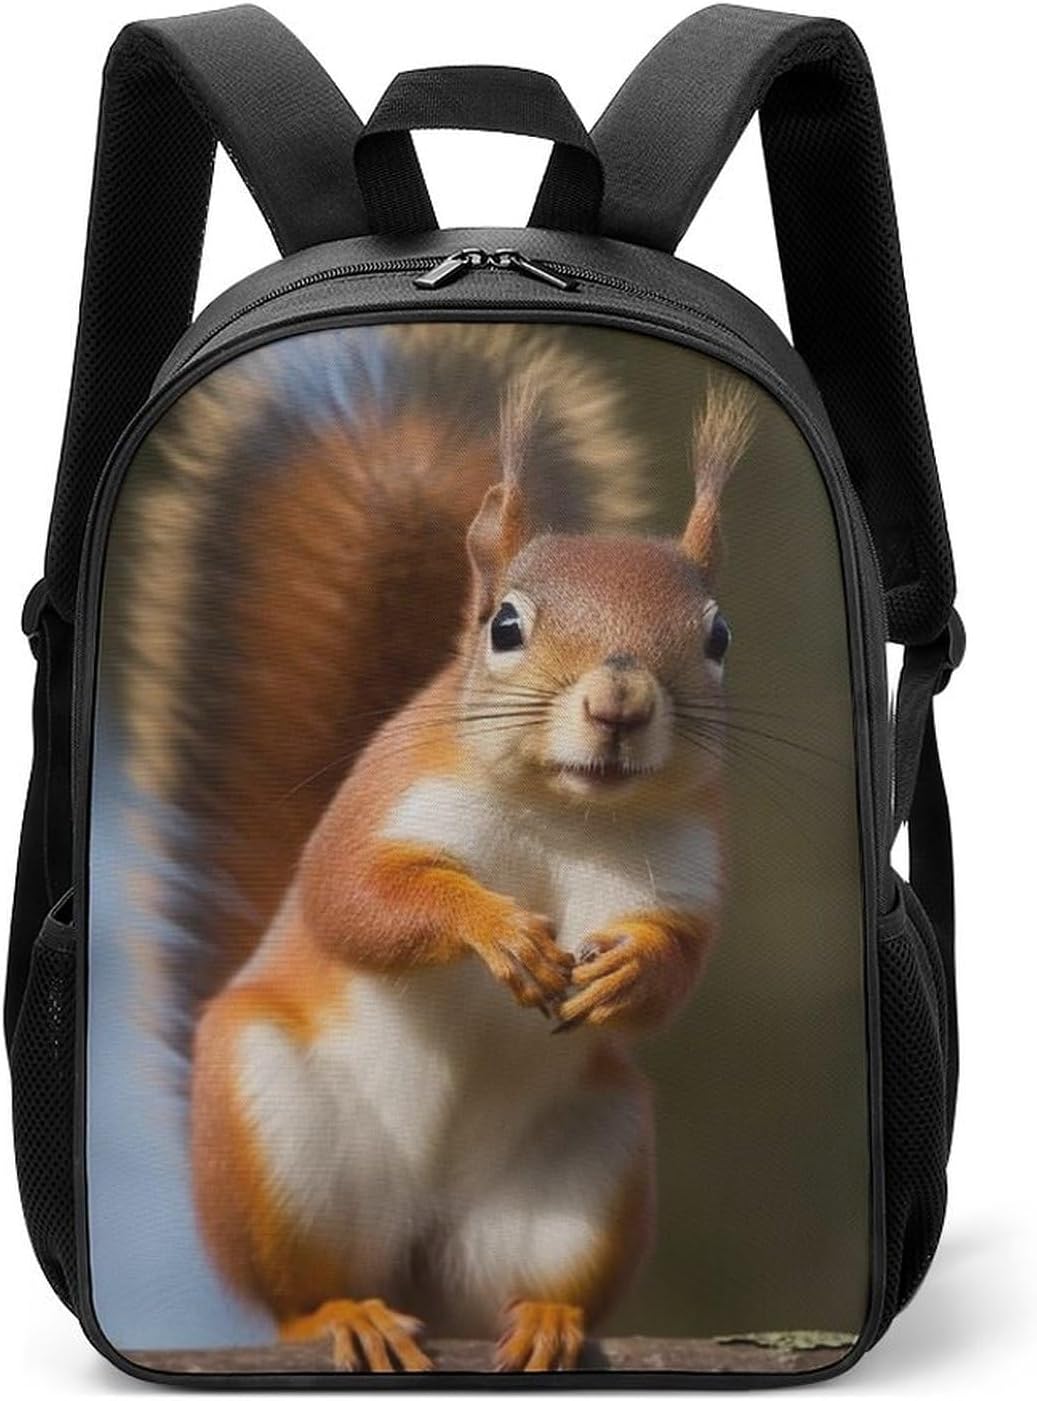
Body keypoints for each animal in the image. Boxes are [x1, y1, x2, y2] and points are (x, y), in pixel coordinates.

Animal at [113, 325, 755, 1372]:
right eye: (506, 625)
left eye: (719, 635)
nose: (619, 703)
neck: (564, 811)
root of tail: (415, 1253)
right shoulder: (380, 804)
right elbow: (353, 900)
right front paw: (496, 929)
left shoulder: (688, 863)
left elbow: (679, 968)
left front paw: (626, 967)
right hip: (277, 1136)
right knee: (298, 1286)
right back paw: (343, 1316)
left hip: (586, 1164)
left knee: (519, 1281)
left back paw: (546, 1319)